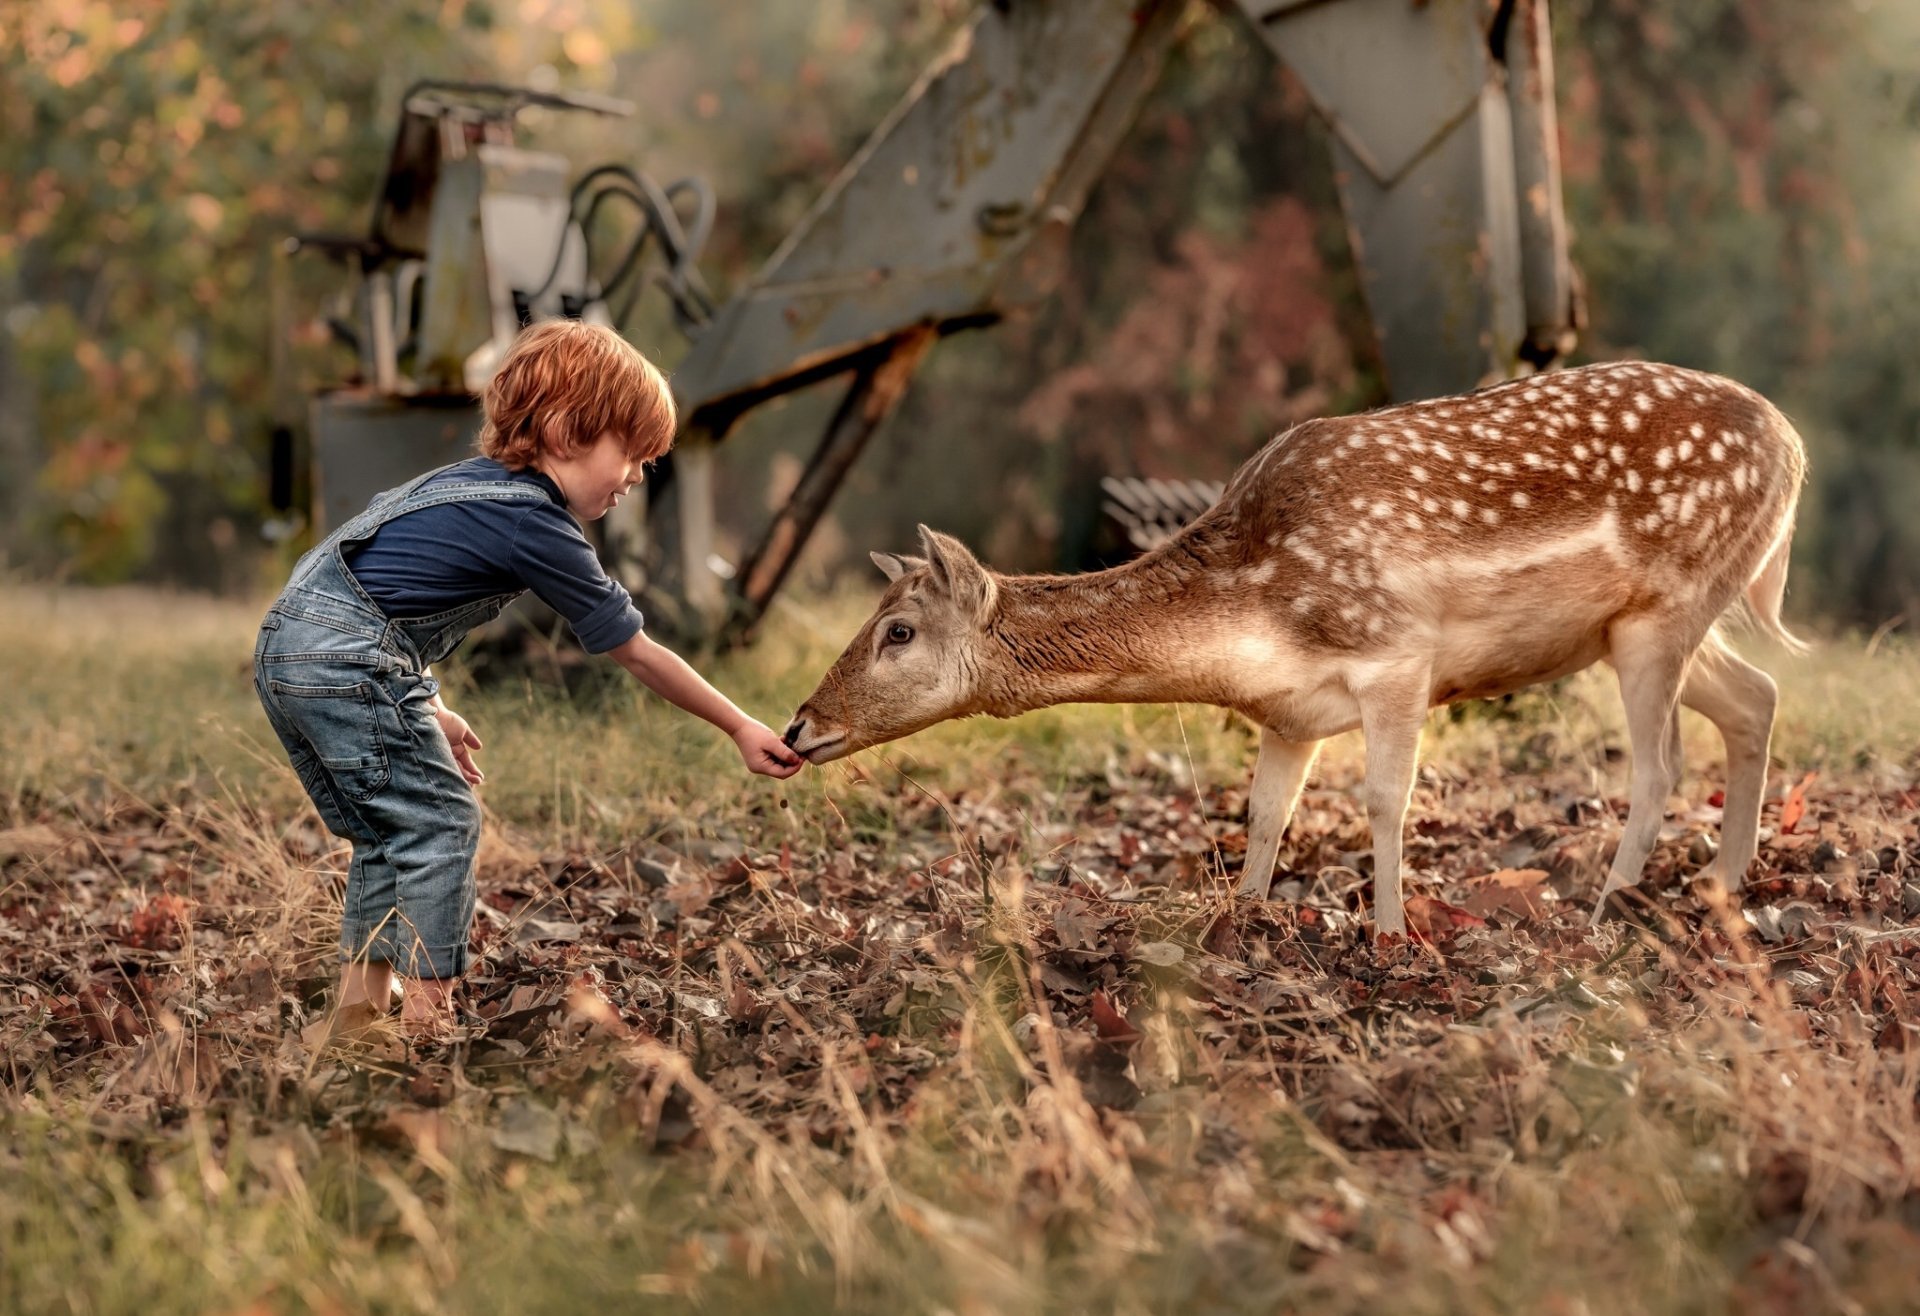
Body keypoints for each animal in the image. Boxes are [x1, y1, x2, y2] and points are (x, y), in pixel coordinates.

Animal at [784, 362, 1807, 936]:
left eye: (898, 631)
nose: (798, 727)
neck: (1253, 619)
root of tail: (1794, 448)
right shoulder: (1290, 714)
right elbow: (1267, 815)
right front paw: (1240, 924)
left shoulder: (1396, 654)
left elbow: (1386, 803)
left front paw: (1389, 938)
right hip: (1646, 626)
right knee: (1756, 695)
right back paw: (1722, 889)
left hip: (1668, 607)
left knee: (1662, 760)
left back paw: (1604, 913)